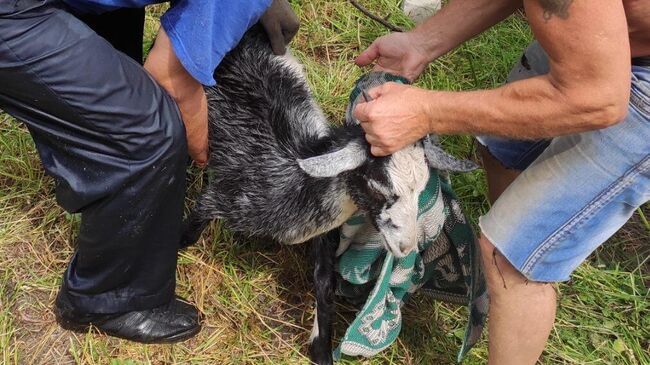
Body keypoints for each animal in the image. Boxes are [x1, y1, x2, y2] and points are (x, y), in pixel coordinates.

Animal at [182, 24, 476, 362]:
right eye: (379, 186)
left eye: (422, 189)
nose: (406, 247)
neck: (295, 179)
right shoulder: (219, 198)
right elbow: (187, 234)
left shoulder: (325, 236)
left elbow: (324, 285)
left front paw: (320, 348)